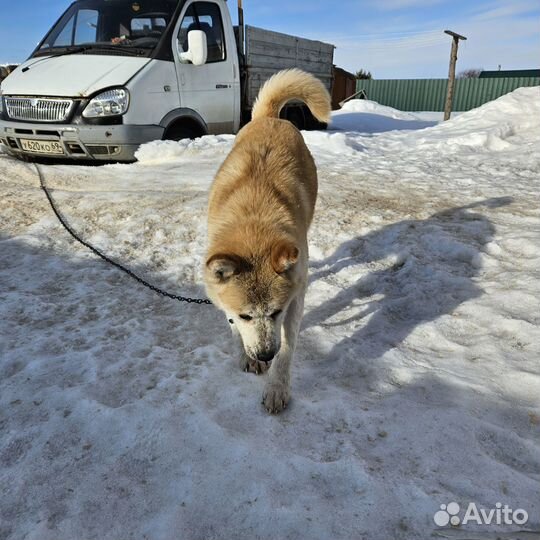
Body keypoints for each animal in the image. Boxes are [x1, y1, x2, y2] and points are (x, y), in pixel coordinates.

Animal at [202, 67, 330, 414]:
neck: (254, 221)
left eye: (275, 312)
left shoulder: (294, 301)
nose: (264, 355)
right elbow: (233, 327)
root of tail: (270, 117)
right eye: (246, 315)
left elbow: (288, 347)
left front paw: (277, 388)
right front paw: (247, 358)